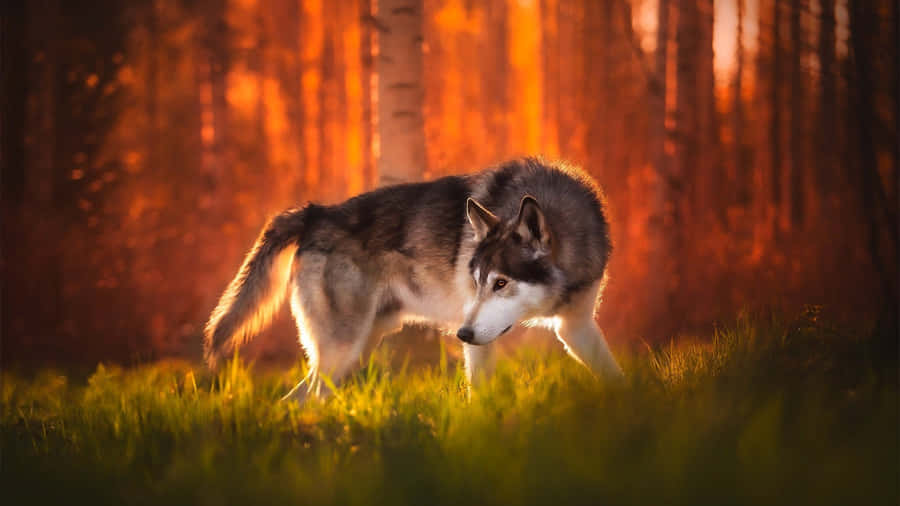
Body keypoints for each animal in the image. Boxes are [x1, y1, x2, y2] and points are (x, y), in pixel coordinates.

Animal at [204, 158, 622, 401]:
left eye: (500, 283)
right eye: (477, 281)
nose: (461, 334)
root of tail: (314, 213)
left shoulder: (575, 326)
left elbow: (614, 376)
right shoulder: (481, 342)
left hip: (356, 351)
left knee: (297, 398)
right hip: (342, 352)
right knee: (303, 398)